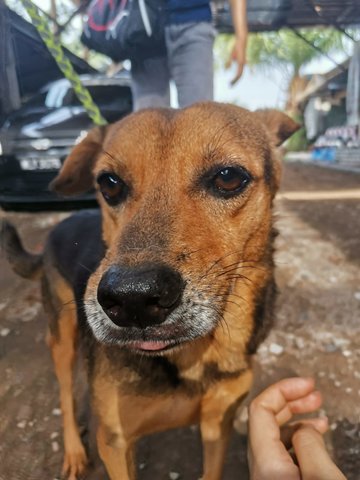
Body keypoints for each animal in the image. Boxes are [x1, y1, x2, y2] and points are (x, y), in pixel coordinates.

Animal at [0, 103, 298, 478]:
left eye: (229, 177)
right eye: (109, 183)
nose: (133, 300)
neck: (193, 358)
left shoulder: (218, 425)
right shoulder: (114, 442)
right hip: (62, 339)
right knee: (66, 394)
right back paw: (73, 451)